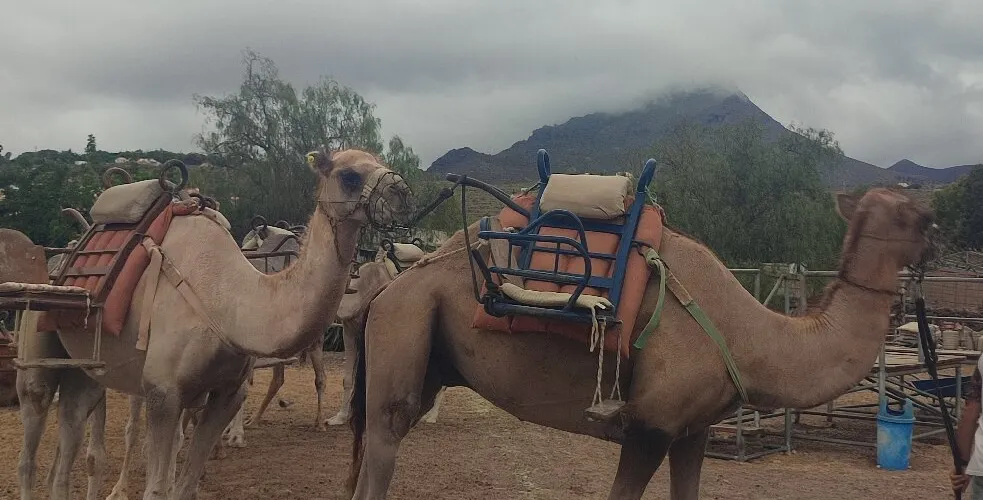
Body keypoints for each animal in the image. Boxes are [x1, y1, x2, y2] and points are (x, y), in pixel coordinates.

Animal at [12, 147, 413, 500]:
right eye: (349, 175)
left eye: (379, 160)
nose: (402, 191)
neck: (229, 303)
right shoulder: (162, 392)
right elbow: (156, 486)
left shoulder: (225, 393)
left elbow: (186, 485)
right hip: (37, 351)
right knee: (30, 449)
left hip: (84, 376)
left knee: (65, 450)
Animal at [346, 186, 937, 500]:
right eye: (916, 216)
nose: (938, 230)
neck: (749, 337)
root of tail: (389, 285)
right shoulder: (650, 426)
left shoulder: (692, 430)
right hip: (405, 325)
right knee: (384, 441)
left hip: (424, 353)